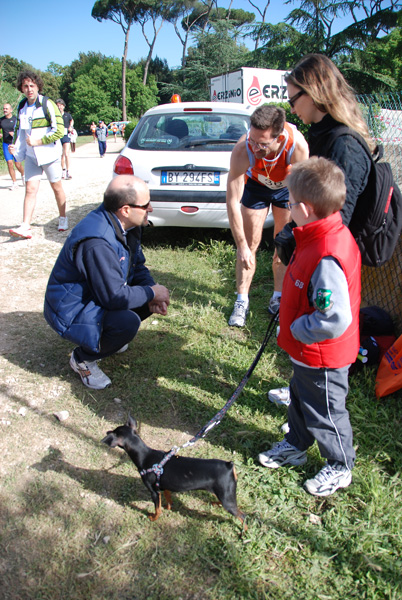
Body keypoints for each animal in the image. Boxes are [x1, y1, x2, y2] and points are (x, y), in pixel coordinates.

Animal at [101, 414, 245, 528]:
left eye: (113, 431)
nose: (107, 431)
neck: (145, 456)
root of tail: (229, 465)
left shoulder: (154, 492)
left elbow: (157, 509)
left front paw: (153, 518)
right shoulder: (165, 487)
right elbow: (168, 500)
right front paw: (168, 507)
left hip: (227, 499)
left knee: (243, 516)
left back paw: (243, 533)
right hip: (225, 494)